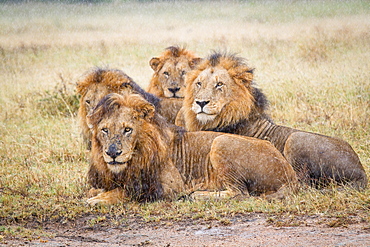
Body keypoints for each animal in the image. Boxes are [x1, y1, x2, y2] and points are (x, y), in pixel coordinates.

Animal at [84, 92, 298, 205]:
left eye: (127, 129)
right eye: (104, 130)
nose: (112, 153)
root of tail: (290, 174)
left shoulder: (171, 186)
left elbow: (127, 191)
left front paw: (98, 199)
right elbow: (98, 189)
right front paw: (96, 194)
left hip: (220, 142)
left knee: (239, 193)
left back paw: (198, 195)